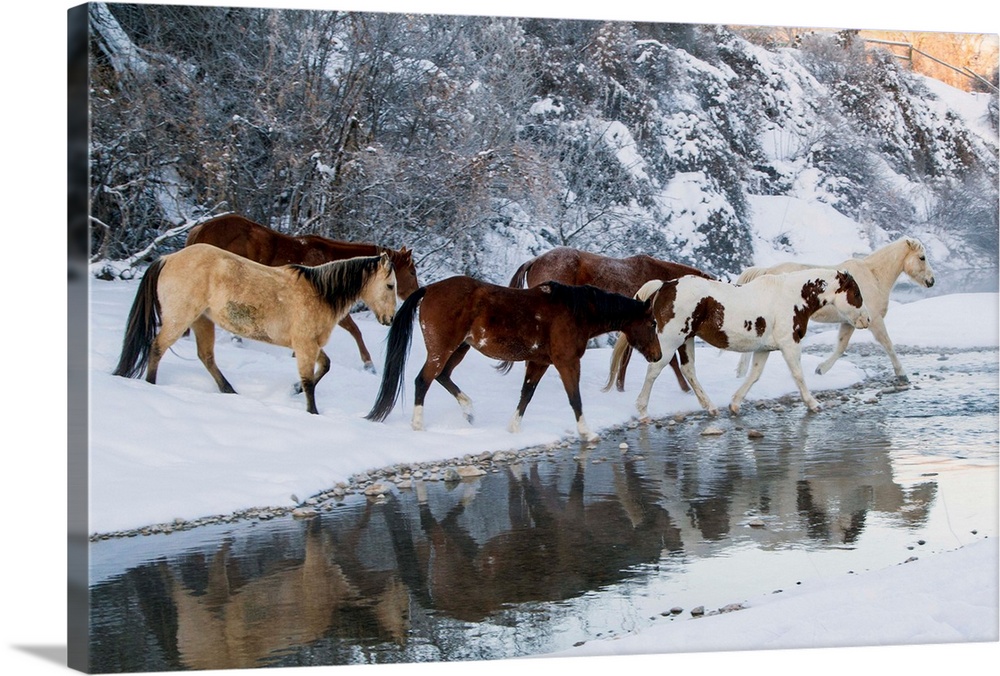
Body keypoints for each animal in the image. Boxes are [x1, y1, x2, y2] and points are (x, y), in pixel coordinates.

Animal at [112, 243, 398, 412]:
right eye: (390, 285)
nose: (391, 319)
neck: (319, 293)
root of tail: (168, 258)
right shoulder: (305, 345)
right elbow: (309, 381)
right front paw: (311, 411)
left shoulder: (310, 345)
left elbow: (324, 367)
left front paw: (293, 389)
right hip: (179, 318)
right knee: (157, 348)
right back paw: (151, 386)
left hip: (202, 320)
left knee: (206, 356)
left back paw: (229, 391)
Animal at [368, 276, 664, 444]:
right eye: (652, 323)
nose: (658, 355)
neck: (576, 312)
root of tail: (429, 289)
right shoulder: (567, 362)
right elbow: (575, 398)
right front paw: (587, 432)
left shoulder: (540, 362)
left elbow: (527, 394)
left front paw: (513, 428)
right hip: (442, 349)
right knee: (423, 380)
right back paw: (418, 425)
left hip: (460, 349)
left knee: (442, 376)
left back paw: (469, 410)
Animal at [604, 268, 872, 418]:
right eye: (857, 293)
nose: (867, 319)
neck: (792, 297)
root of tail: (665, 285)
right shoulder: (790, 344)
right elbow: (798, 374)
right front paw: (814, 404)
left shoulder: (764, 348)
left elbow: (754, 375)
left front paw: (734, 404)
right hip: (671, 340)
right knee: (654, 370)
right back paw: (642, 411)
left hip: (686, 340)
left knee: (688, 370)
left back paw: (711, 408)